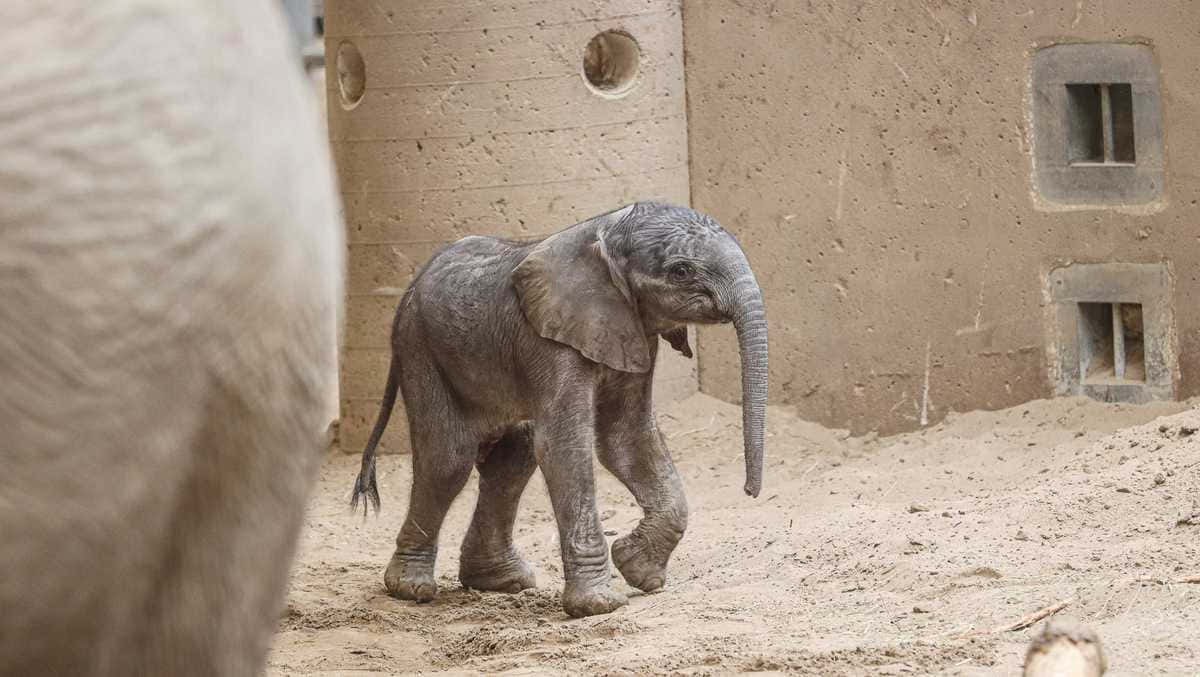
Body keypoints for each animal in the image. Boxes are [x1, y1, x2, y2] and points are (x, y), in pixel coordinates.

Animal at [352, 201, 767, 618]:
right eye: (681, 271)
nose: (749, 492)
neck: (607, 231)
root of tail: (411, 284)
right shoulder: (549, 341)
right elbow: (564, 448)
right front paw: (599, 605)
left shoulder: (631, 332)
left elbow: (626, 439)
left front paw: (637, 569)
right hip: (419, 348)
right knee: (447, 460)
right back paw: (411, 589)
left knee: (513, 456)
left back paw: (500, 581)